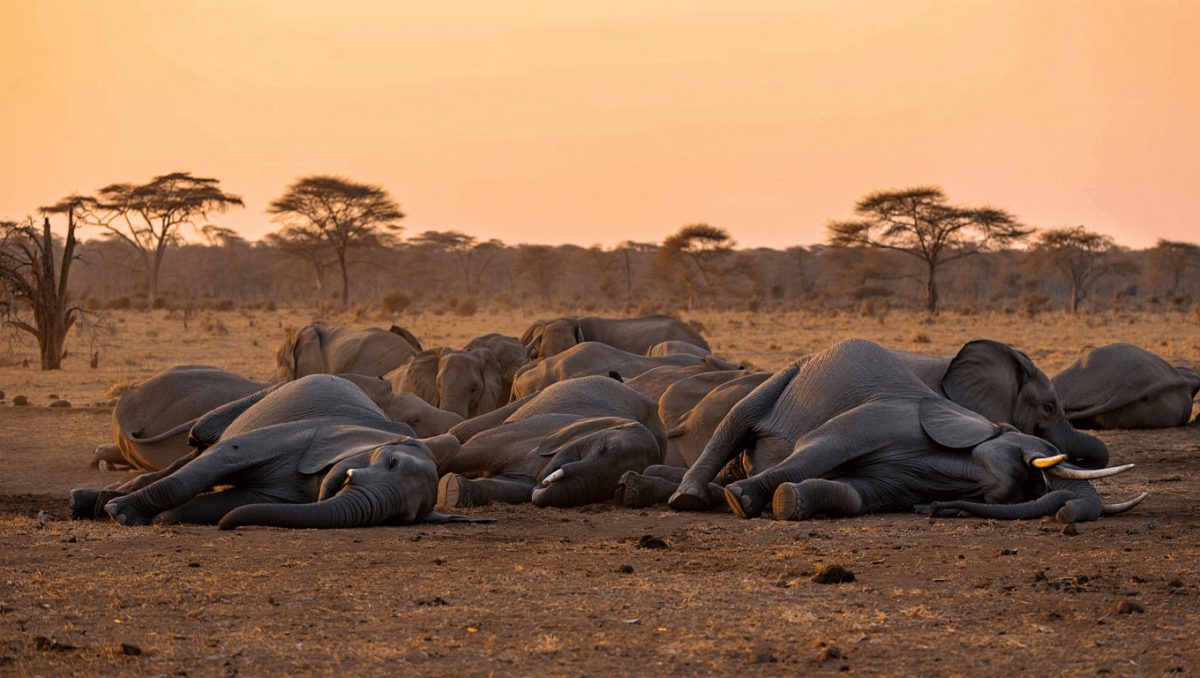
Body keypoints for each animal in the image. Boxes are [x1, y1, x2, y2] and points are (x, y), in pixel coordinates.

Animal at [76, 375, 480, 529]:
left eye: (402, 517)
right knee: (196, 448)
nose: (228, 528)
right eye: (392, 460)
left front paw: (164, 516)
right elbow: (220, 459)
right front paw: (123, 514)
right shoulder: (303, 435)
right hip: (254, 399)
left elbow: (228, 501)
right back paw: (94, 501)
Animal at [431, 375, 666, 508]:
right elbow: (467, 450)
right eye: (604, 449)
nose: (541, 486)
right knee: (459, 433)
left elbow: (511, 487)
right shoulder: (537, 430)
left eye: (616, 487)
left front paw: (453, 488)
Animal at [667, 339, 1144, 522]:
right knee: (737, 421)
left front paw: (790, 503)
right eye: (1034, 454)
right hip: (785, 374)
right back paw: (689, 499)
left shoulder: (897, 482)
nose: (932, 510)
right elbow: (815, 450)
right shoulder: (880, 416)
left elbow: (855, 495)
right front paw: (742, 500)